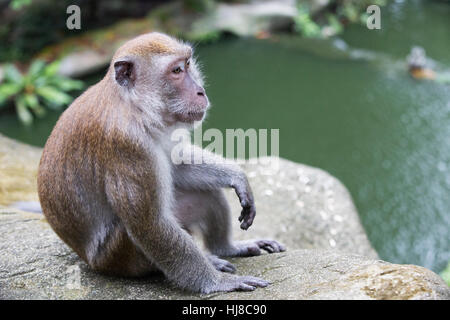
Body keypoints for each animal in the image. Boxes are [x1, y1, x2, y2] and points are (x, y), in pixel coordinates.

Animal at [38, 32, 284, 292]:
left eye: (187, 64)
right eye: (176, 70)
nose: (200, 91)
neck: (134, 106)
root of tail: (91, 261)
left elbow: (177, 164)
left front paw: (238, 176)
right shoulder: (127, 145)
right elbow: (151, 225)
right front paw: (218, 282)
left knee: (205, 192)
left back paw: (226, 248)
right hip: (119, 258)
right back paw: (211, 260)